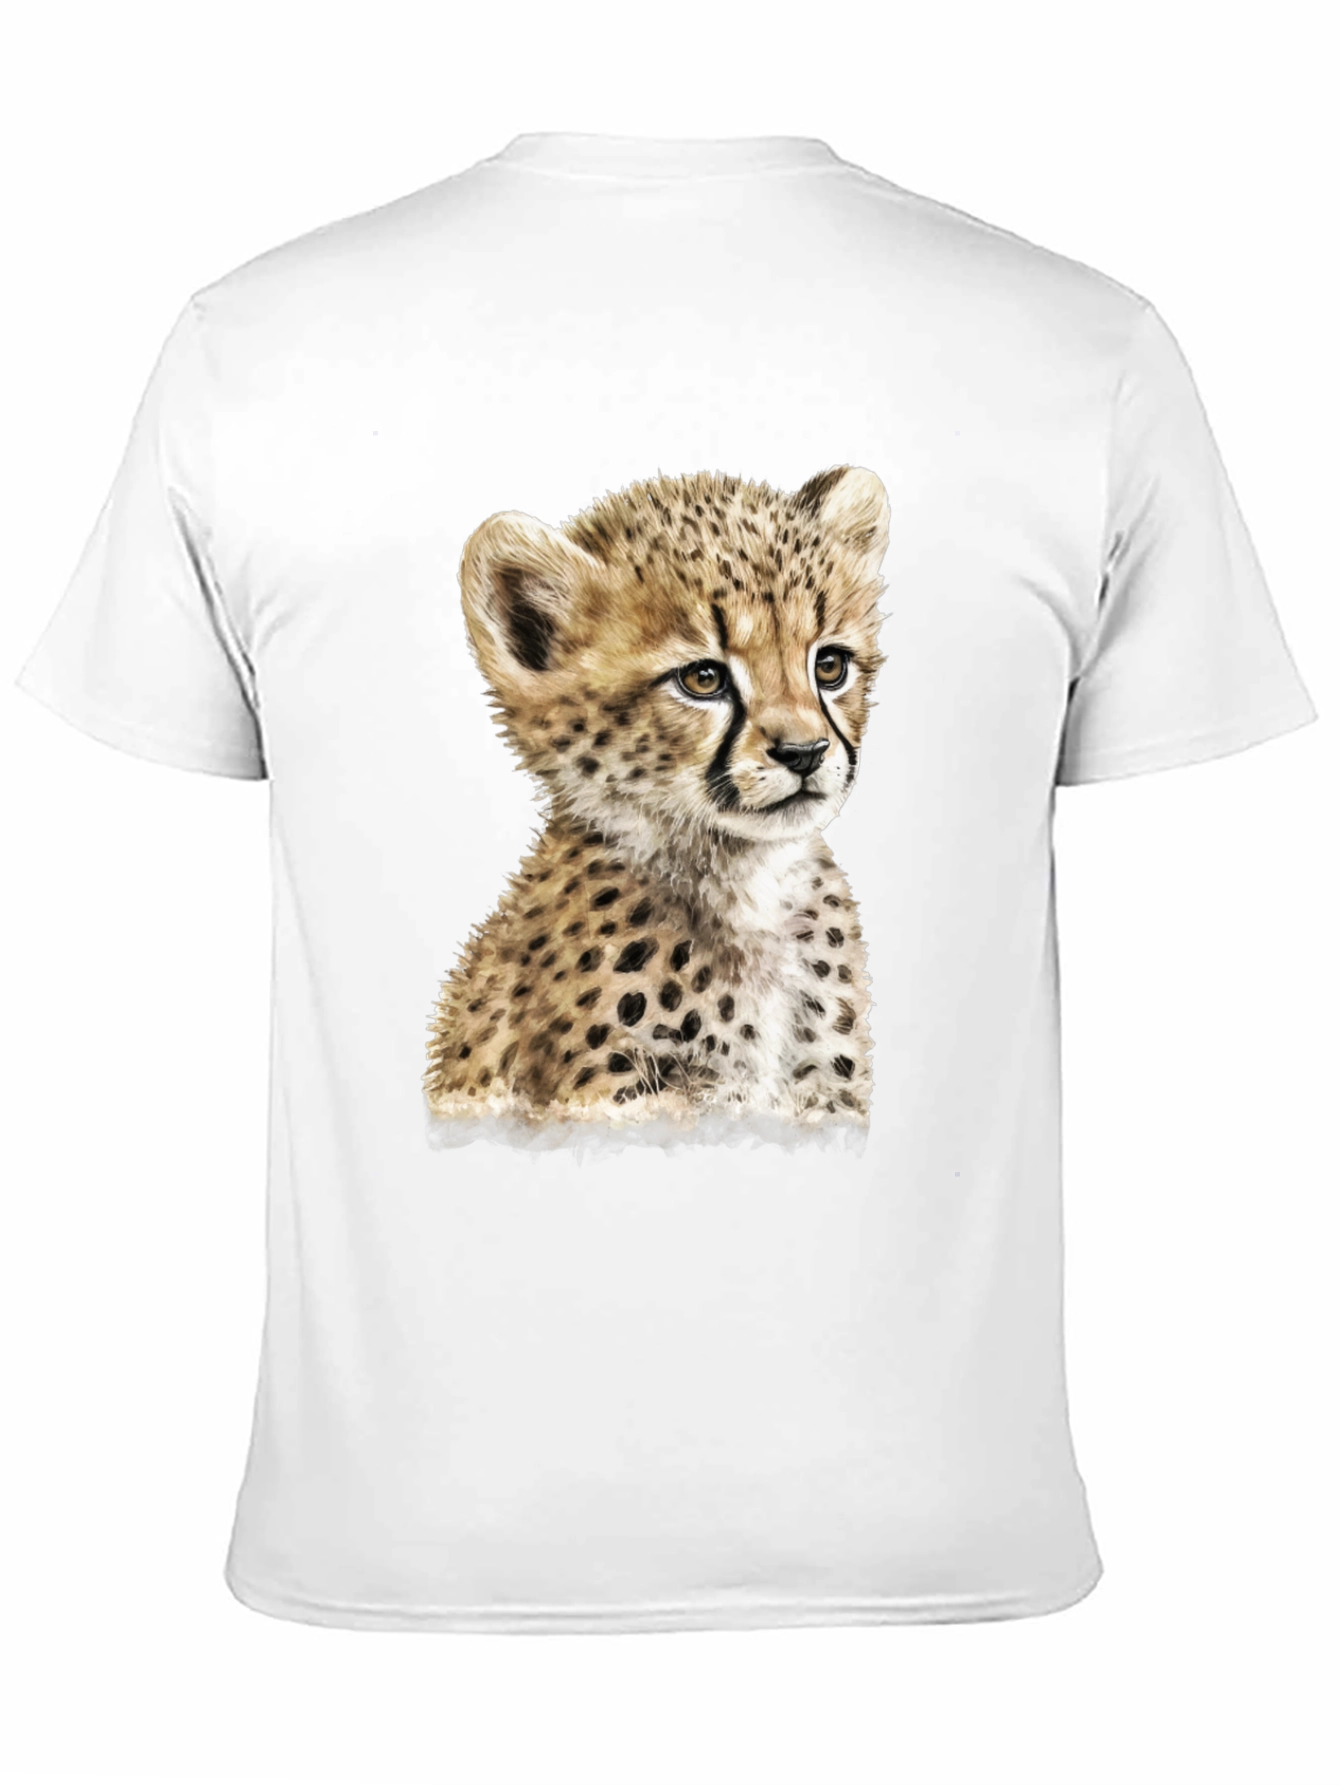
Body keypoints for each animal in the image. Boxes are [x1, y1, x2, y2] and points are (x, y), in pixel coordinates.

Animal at [424, 463, 890, 1146]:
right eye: (703, 679)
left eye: (829, 665)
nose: (804, 753)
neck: (748, 885)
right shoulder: (614, 1102)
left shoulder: (823, 1098)